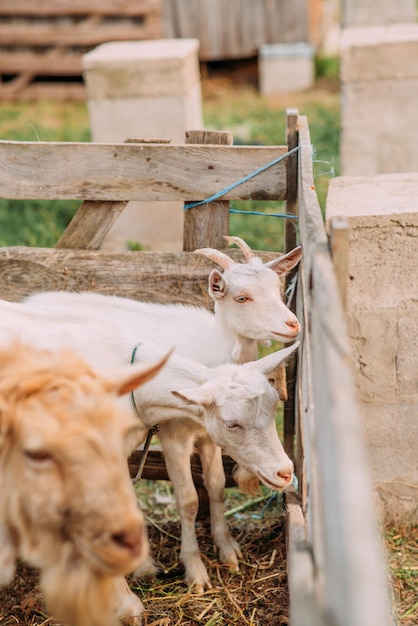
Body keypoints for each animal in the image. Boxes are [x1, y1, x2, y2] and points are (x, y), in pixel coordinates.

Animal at [24, 234, 302, 588]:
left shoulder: (208, 434)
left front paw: (227, 551)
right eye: (242, 297)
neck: (212, 347)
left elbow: (215, 485)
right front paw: (195, 570)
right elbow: (188, 499)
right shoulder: (174, 433)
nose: (292, 324)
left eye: (277, 288)